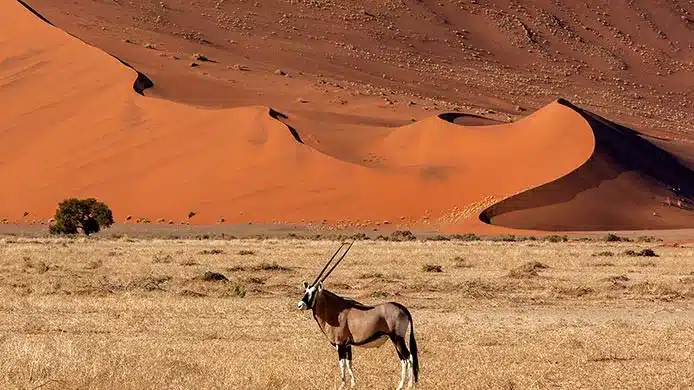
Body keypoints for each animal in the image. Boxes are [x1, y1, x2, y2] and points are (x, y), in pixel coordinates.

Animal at [298, 242, 422, 388]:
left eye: (313, 293)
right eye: (305, 291)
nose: (300, 305)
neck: (335, 310)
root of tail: (403, 308)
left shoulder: (340, 344)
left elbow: (342, 364)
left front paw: (342, 385)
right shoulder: (348, 345)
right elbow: (349, 363)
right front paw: (353, 384)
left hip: (397, 338)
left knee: (408, 358)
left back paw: (407, 385)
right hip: (396, 340)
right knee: (404, 358)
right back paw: (402, 385)